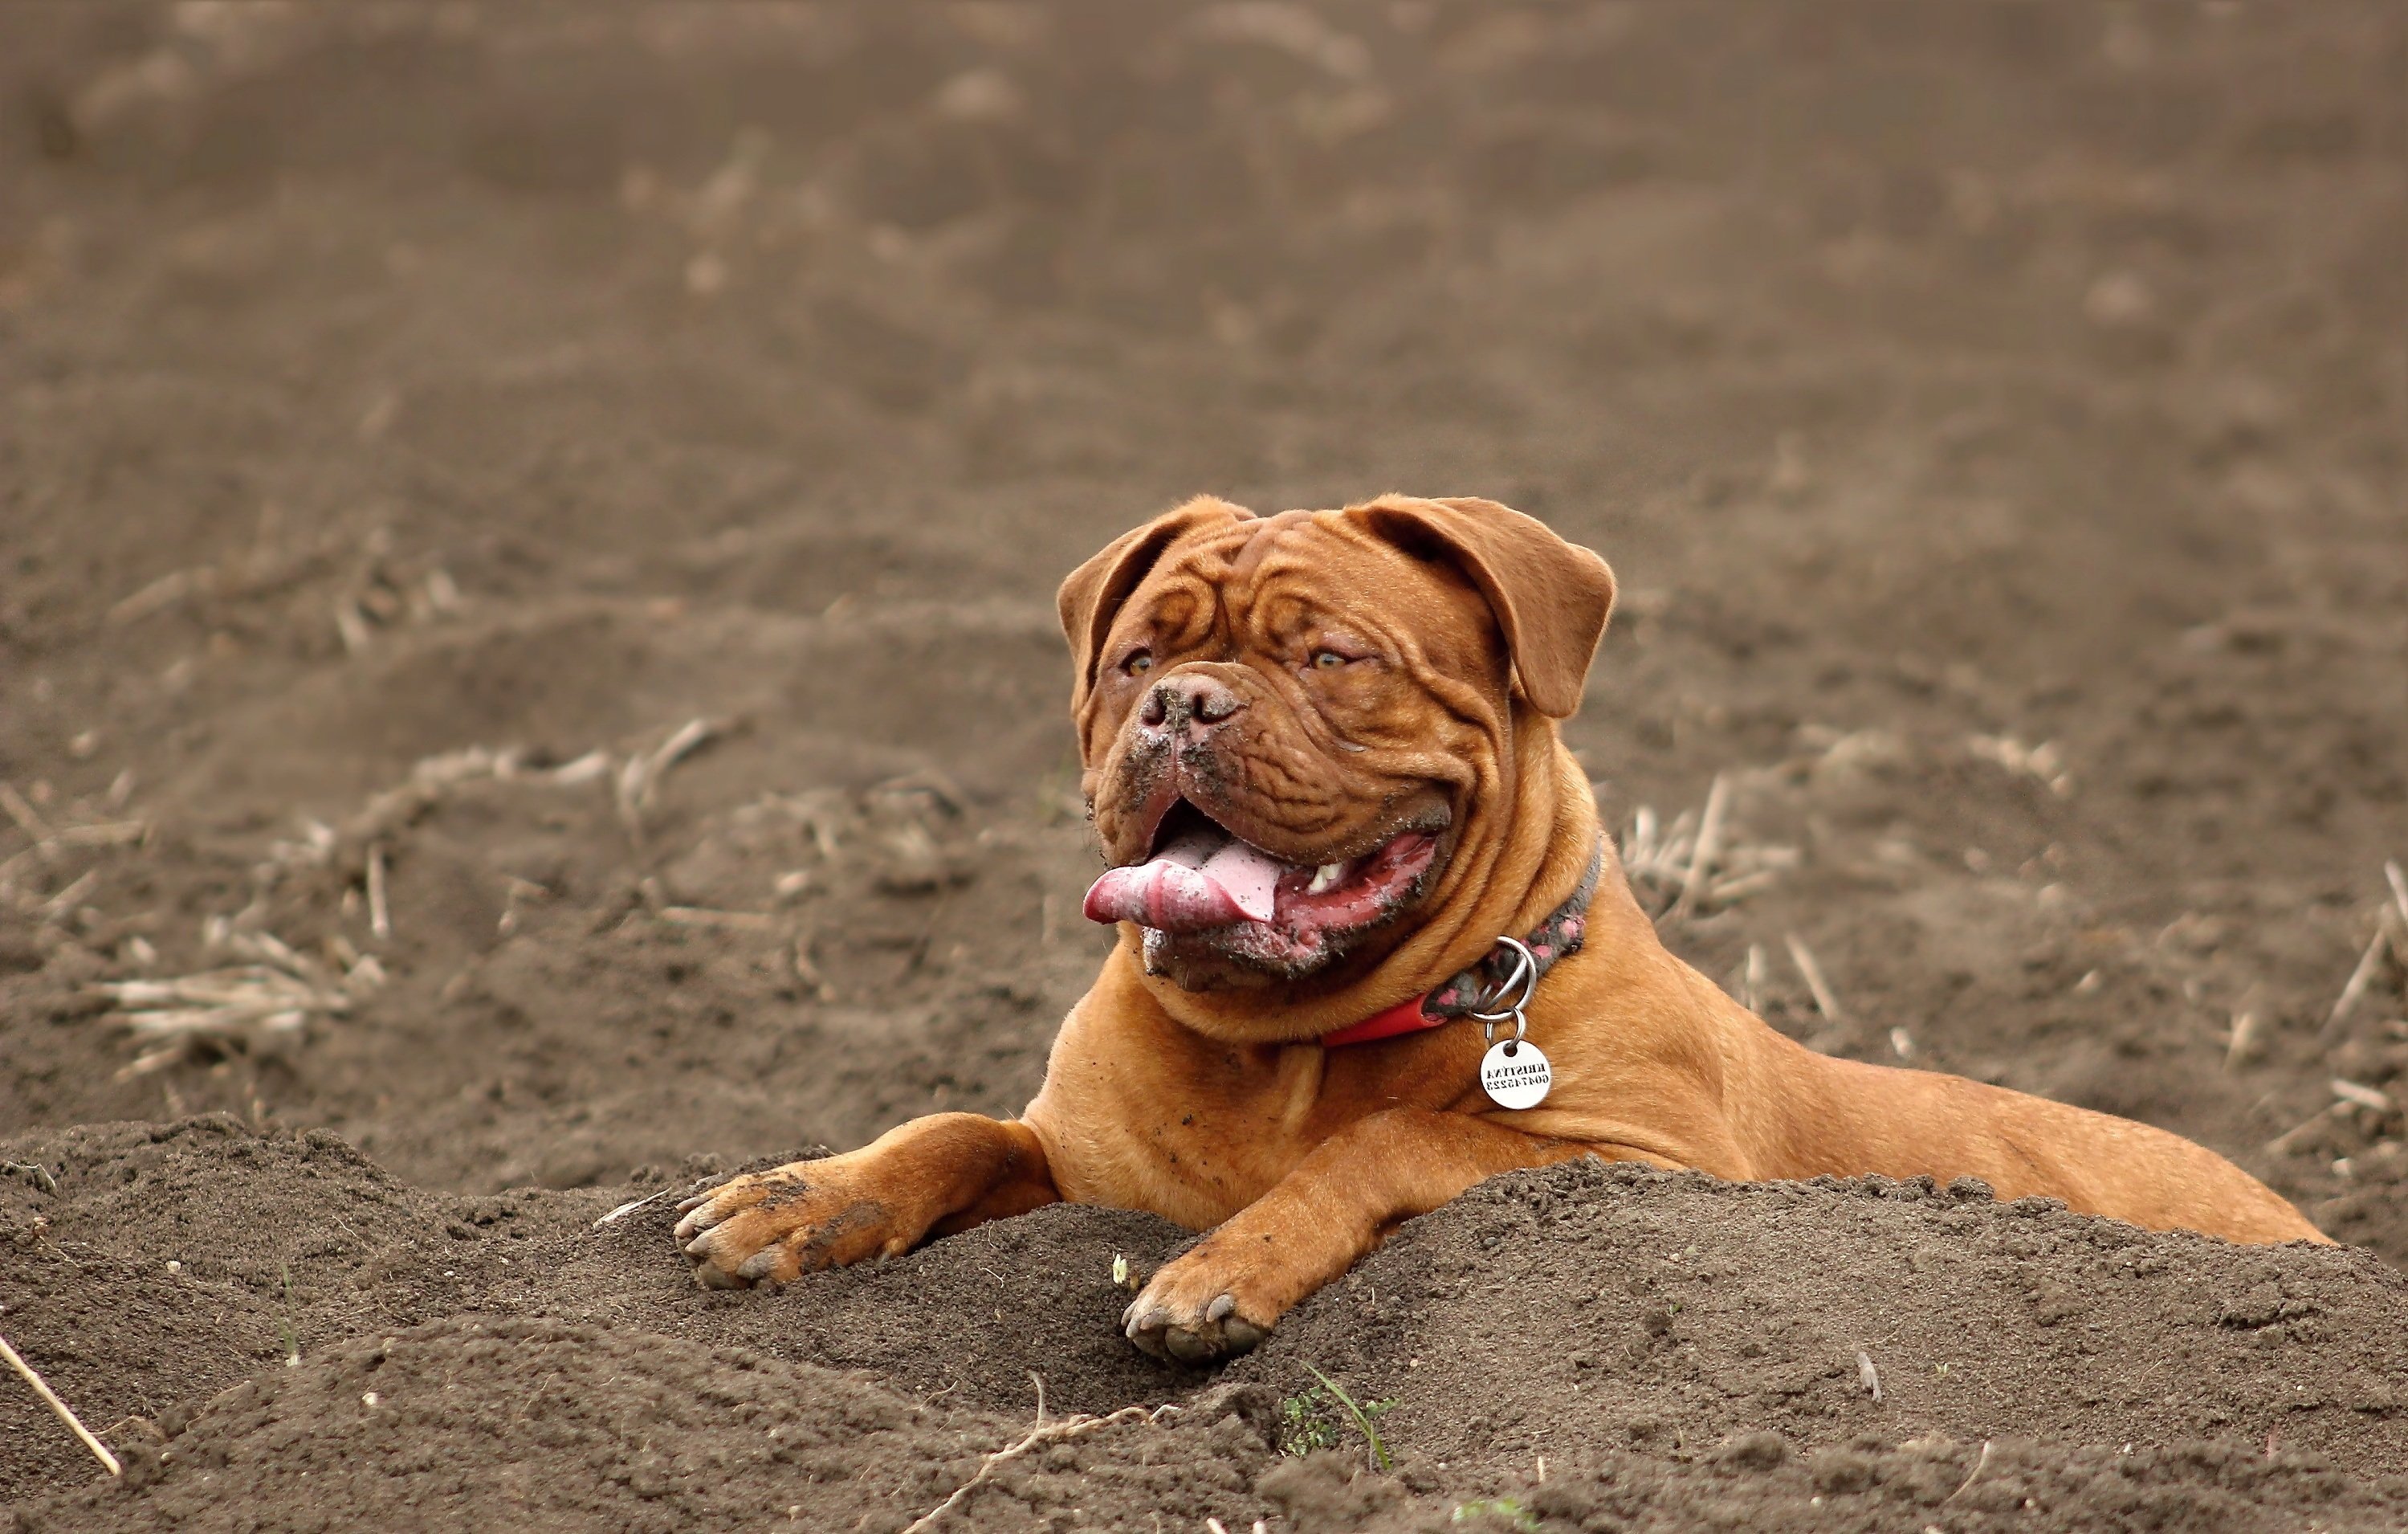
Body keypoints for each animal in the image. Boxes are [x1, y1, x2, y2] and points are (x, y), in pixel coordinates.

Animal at [674, 496, 2312, 1358]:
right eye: (1134, 655)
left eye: (1330, 657)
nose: (1178, 703)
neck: (1291, 1045)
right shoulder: (1075, 1158)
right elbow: (952, 1129)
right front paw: (802, 1197)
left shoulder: (1640, 1162)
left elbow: (1399, 1139)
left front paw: (1223, 1261)